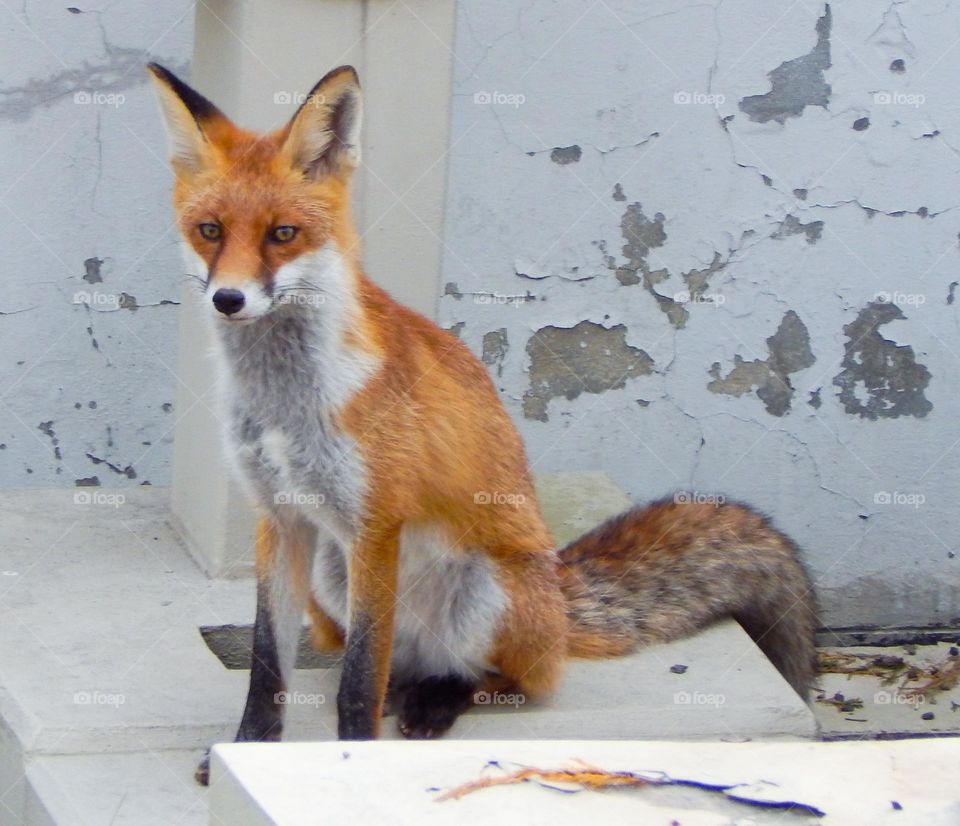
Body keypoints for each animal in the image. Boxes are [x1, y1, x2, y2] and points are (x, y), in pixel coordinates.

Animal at [147, 63, 818, 787]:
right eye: (210, 230)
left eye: (282, 234)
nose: (229, 299)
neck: (284, 402)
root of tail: (560, 593)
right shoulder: (282, 518)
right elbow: (269, 670)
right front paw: (247, 750)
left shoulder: (375, 525)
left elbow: (357, 685)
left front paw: (352, 761)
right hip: (332, 577)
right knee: (394, 670)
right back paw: (410, 691)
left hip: (484, 587)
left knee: (497, 678)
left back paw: (438, 701)